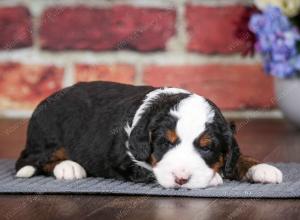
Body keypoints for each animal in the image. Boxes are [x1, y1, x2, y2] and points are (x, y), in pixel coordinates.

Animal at [15, 81, 282, 188]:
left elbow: (236, 157)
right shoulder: (126, 160)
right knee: (34, 159)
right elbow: (153, 169)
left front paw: (261, 168)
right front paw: (214, 178)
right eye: (164, 143)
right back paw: (68, 167)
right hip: (46, 137)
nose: (181, 179)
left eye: (206, 147)